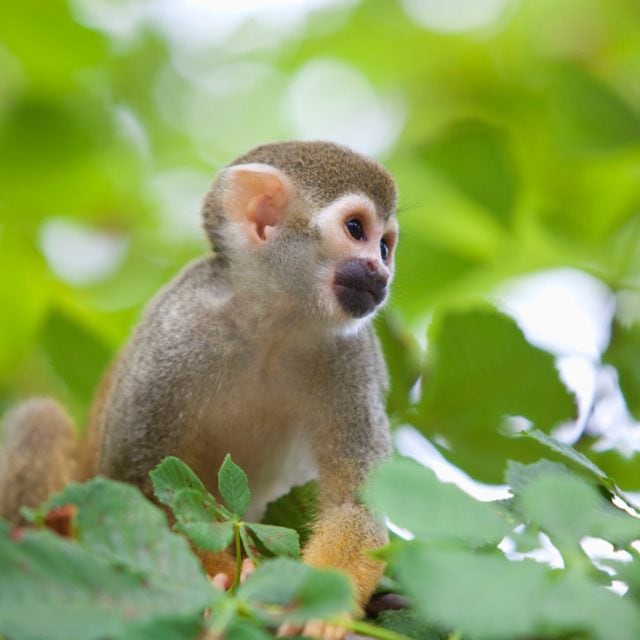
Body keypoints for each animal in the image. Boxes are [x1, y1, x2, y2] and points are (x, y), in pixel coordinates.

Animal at [0, 141, 398, 640]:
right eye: (356, 229)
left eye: (385, 246)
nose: (381, 273)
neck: (272, 326)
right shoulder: (176, 331)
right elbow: (137, 487)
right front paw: (229, 585)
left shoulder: (353, 355)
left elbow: (355, 504)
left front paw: (324, 607)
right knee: (41, 419)